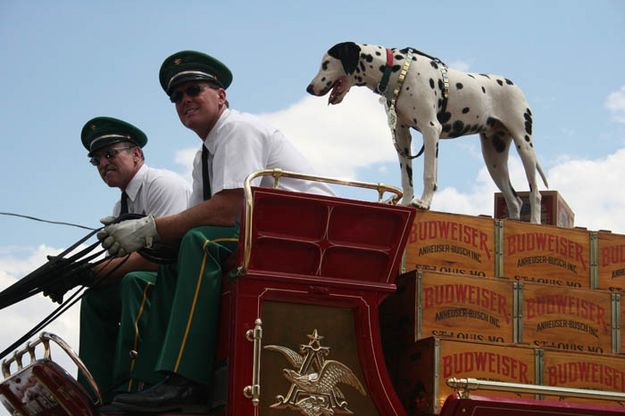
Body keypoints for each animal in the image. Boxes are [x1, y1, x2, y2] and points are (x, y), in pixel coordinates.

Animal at [306, 41, 544, 223]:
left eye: (325, 64)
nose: (309, 88)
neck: (397, 71)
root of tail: (514, 86)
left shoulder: (430, 130)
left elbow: (428, 173)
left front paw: (424, 202)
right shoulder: (402, 136)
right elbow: (406, 177)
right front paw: (406, 202)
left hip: (524, 145)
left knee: (535, 192)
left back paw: (534, 223)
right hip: (494, 159)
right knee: (515, 200)